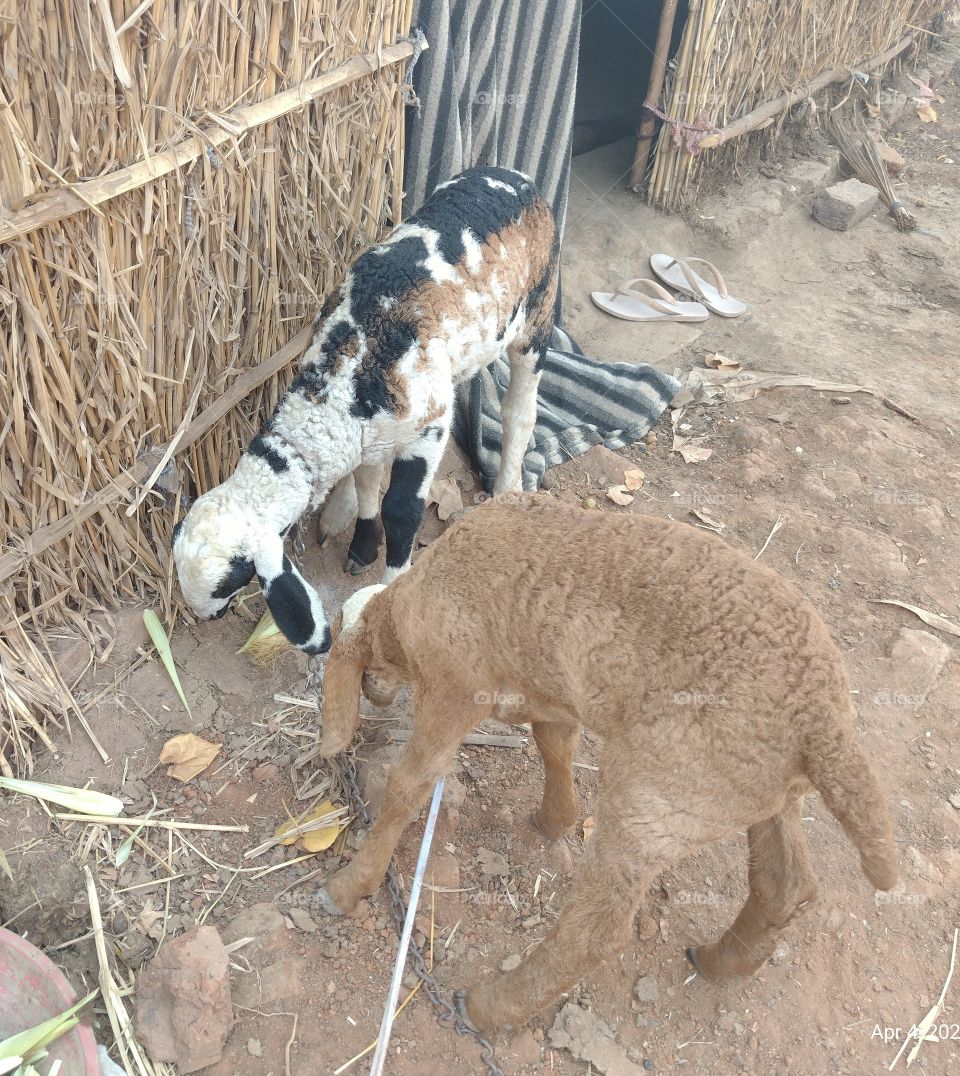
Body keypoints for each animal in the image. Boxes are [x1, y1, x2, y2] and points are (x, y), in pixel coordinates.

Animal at [174, 167, 555, 654]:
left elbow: (402, 511)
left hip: (537, 313)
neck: (345, 380)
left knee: (520, 410)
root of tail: (514, 176)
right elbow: (368, 480)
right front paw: (362, 544)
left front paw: (392, 587)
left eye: (232, 580)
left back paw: (508, 486)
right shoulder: (370, 433)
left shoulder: (428, 428)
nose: (207, 616)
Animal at [314, 492, 899, 1032]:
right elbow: (554, 743)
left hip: (656, 798)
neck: (405, 609)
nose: (377, 694)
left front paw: (349, 886)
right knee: (785, 885)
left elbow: (408, 785)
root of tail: (823, 727)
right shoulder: (551, 689)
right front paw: (555, 819)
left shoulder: (456, 684)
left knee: (597, 933)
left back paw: (488, 1008)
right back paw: (721, 961)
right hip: (753, 789)